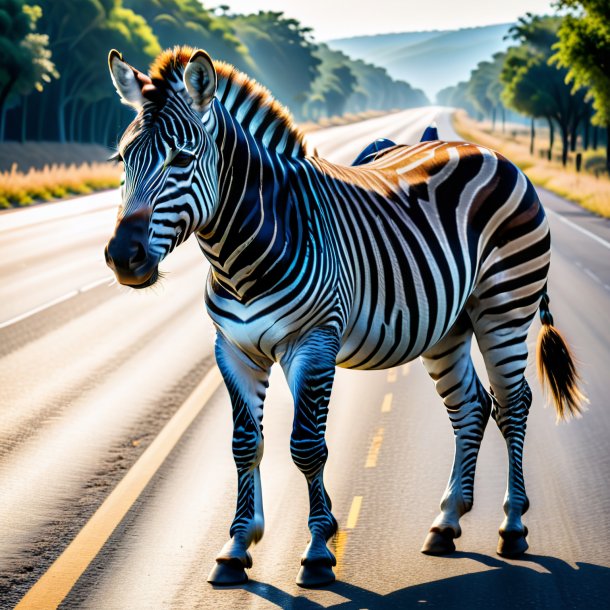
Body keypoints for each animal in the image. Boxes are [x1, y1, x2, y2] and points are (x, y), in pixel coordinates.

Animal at [104, 47, 584, 584]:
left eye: (182, 159)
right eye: (122, 159)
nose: (123, 258)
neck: (240, 255)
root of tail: (486, 151)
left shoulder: (314, 343)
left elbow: (307, 446)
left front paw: (317, 550)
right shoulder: (232, 350)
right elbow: (245, 444)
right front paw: (235, 547)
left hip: (505, 308)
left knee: (513, 405)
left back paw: (514, 526)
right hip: (447, 328)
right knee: (471, 406)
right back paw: (446, 523)